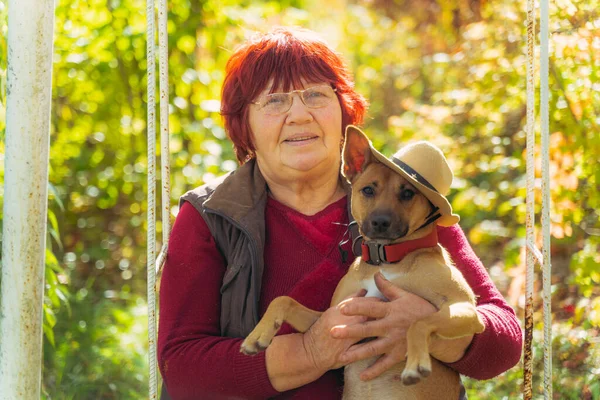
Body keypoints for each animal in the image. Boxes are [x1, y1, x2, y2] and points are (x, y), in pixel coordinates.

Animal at [239, 126, 482, 400]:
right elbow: (283, 300)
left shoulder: (465, 309)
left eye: (407, 193)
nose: (380, 222)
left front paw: (415, 363)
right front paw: (257, 334)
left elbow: (419, 322)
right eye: (368, 190)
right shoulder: (330, 318)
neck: (385, 259)